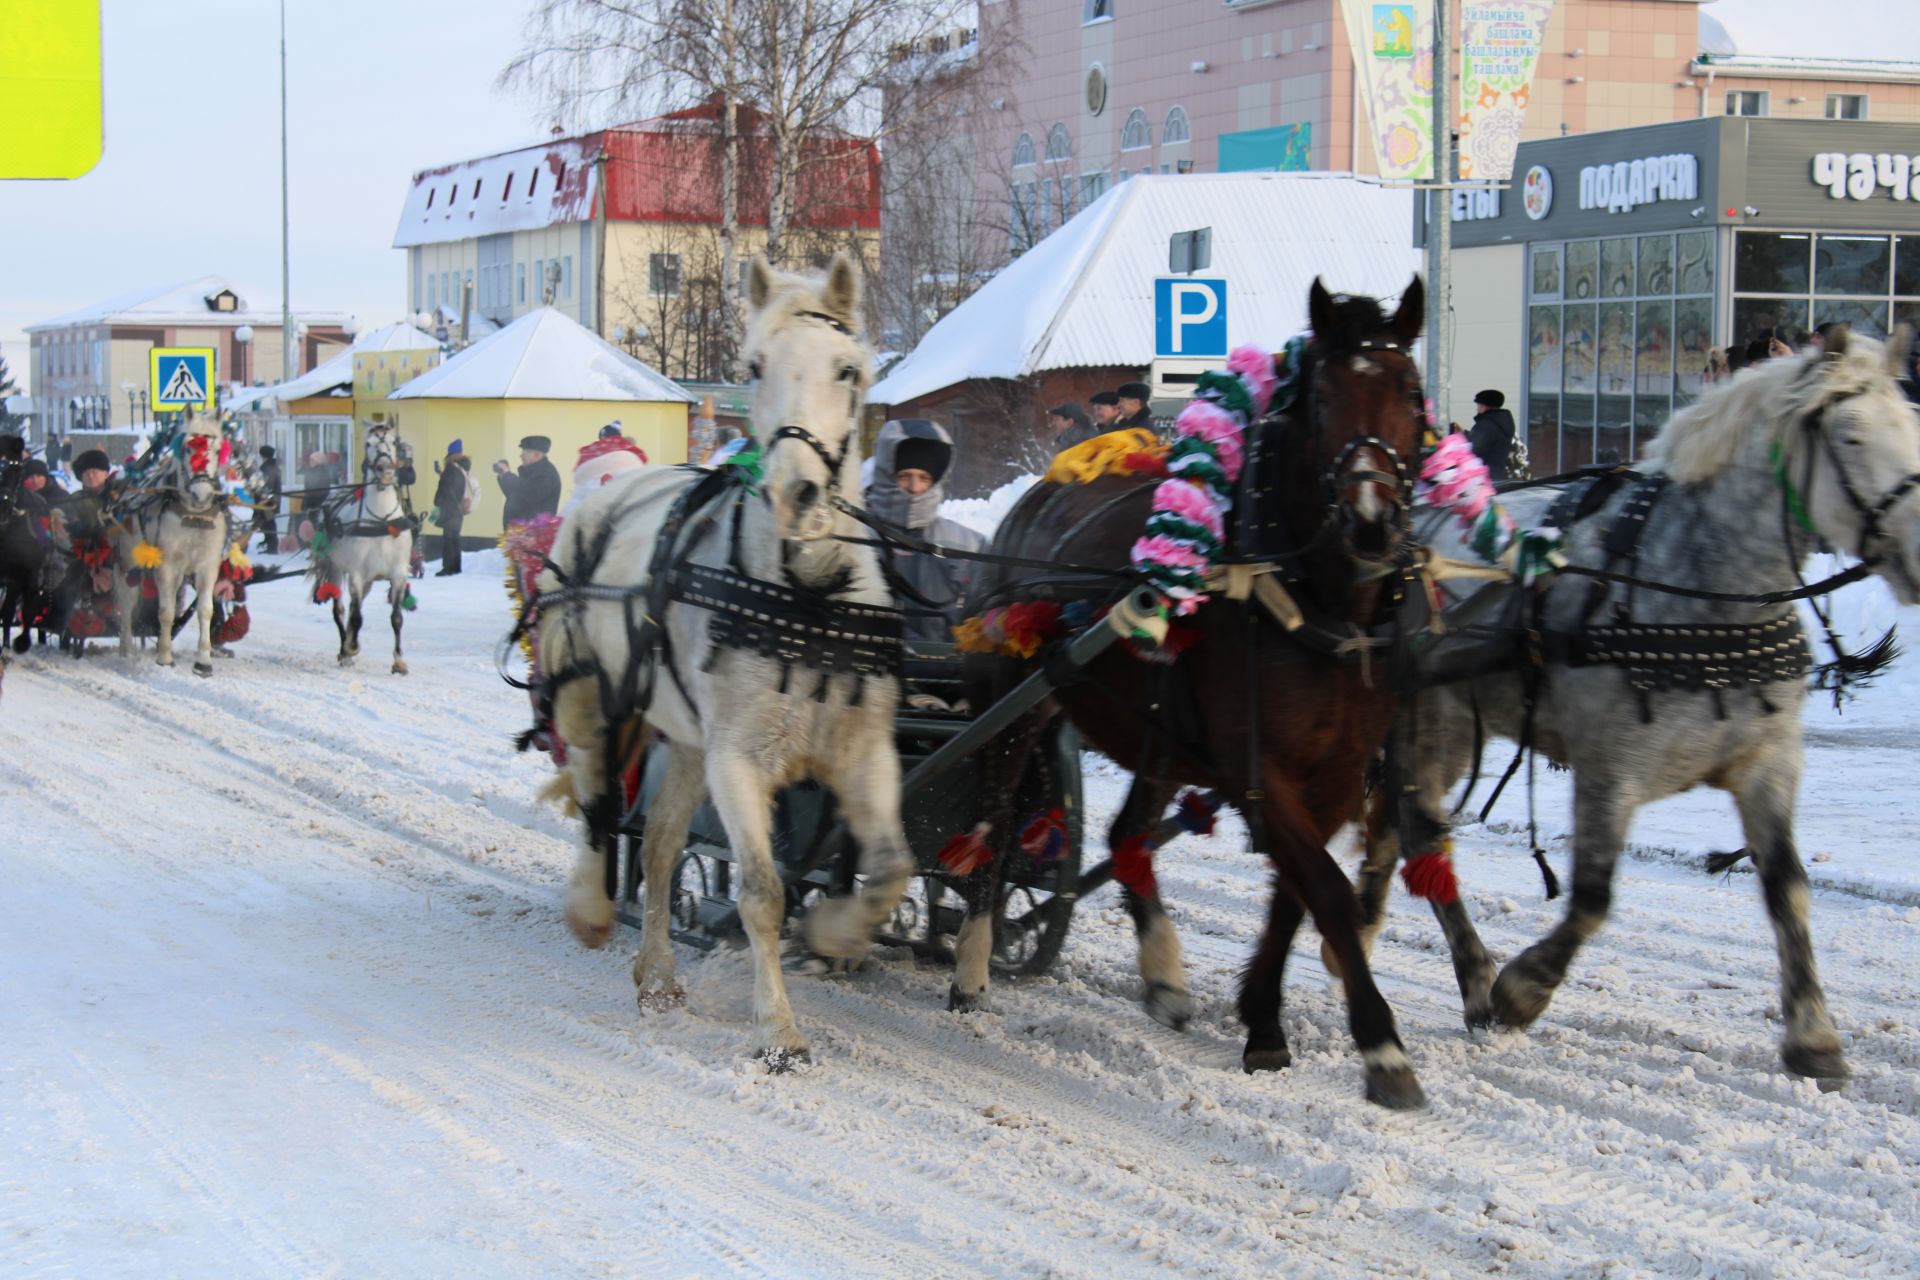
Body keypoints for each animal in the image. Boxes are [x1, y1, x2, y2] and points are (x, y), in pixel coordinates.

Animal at [314, 427, 416, 675]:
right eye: (368, 443)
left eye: (393, 442)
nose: (385, 468)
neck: (381, 521)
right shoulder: (356, 574)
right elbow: (357, 617)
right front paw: (350, 647)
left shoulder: (398, 574)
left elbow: (396, 617)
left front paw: (399, 661)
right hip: (335, 568)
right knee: (341, 610)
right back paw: (345, 650)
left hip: (369, 580)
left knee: (353, 607)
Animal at [533, 255, 906, 1066]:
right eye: (755, 366)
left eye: (847, 369)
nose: (798, 493)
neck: (808, 597)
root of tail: (609, 486)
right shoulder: (739, 760)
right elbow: (762, 892)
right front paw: (780, 1031)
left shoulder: (864, 754)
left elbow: (891, 870)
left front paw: (834, 932)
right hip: (592, 700)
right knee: (597, 804)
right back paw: (591, 911)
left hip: (683, 742)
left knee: (660, 849)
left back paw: (659, 977)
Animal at [956, 276, 1428, 1105]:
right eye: (1324, 397)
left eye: (1410, 388)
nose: (1373, 523)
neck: (1312, 600)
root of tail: (1035, 497)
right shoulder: (1260, 768)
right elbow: (1327, 889)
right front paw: (1380, 1045)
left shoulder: (1336, 775)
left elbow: (1297, 894)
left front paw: (1263, 1020)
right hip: (1018, 700)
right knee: (993, 818)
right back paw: (973, 964)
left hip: (1157, 730)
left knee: (1124, 836)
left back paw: (1164, 974)